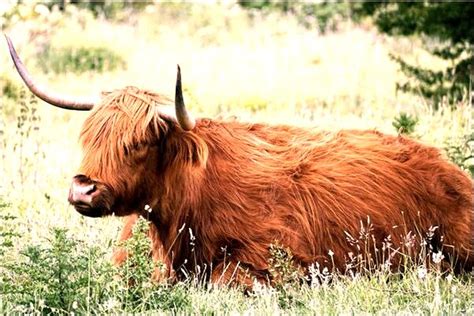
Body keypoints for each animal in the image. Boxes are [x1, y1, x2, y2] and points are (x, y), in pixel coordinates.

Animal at [5, 35, 472, 286]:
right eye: (88, 136)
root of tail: (448, 168)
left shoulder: (278, 262)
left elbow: (223, 280)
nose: (82, 189)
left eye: (139, 142)